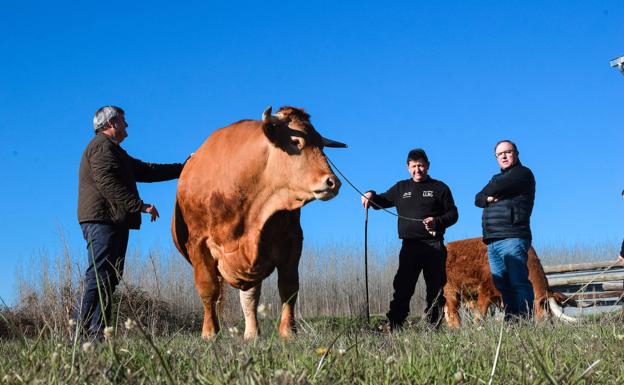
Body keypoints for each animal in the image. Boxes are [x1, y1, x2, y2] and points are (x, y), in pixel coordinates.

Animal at [172, 106, 346, 338]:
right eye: (295, 141)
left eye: (321, 145)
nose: (333, 182)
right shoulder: (198, 243)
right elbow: (208, 289)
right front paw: (209, 333)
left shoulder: (292, 239)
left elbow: (289, 287)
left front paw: (288, 331)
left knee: (250, 297)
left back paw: (252, 333)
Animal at [444, 237, 576, 328]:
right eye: (544, 309)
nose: (550, 327)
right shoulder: (486, 290)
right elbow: (480, 314)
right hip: (450, 290)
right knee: (452, 311)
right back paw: (457, 328)